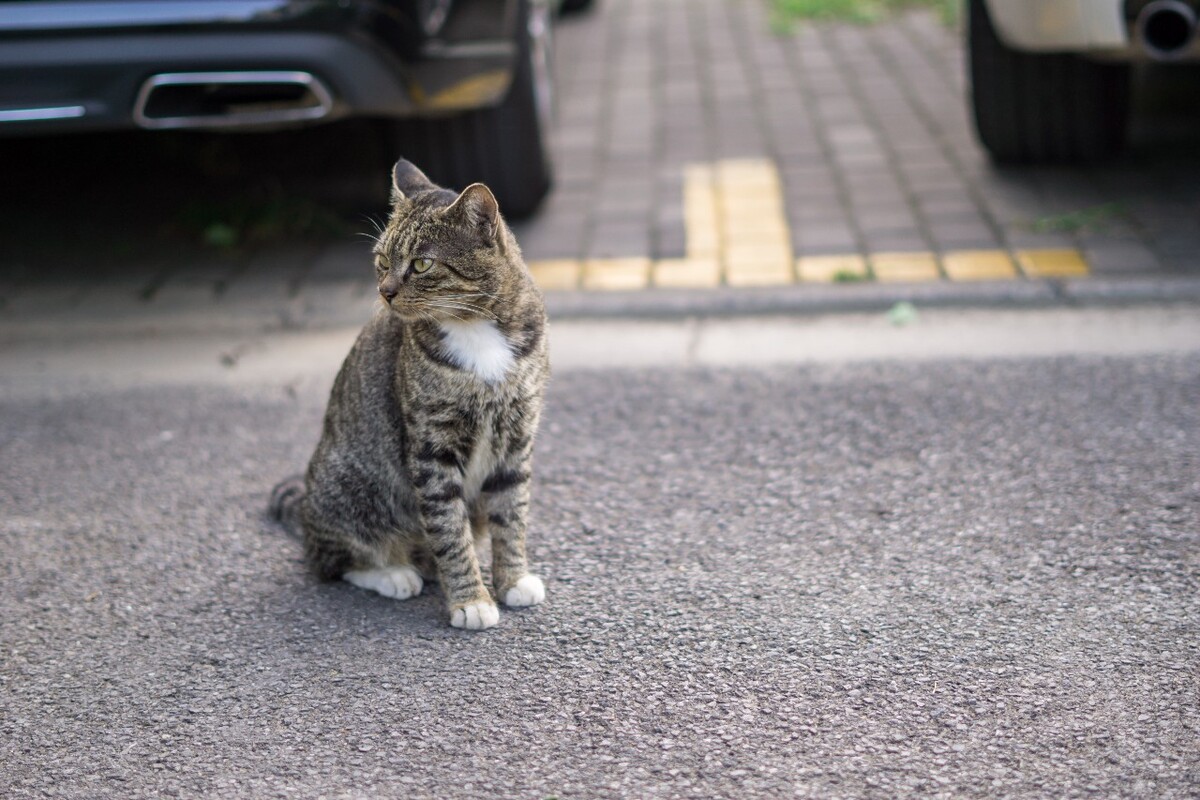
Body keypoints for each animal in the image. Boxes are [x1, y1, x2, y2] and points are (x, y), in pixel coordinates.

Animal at [271, 158, 549, 633]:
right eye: (382, 261)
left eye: (421, 264)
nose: (385, 291)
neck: (476, 329)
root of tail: (304, 512)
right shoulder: (432, 447)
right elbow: (449, 529)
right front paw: (470, 600)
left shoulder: (517, 436)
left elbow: (511, 513)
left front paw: (512, 580)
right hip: (352, 488)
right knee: (331, 561)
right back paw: (394, 574)